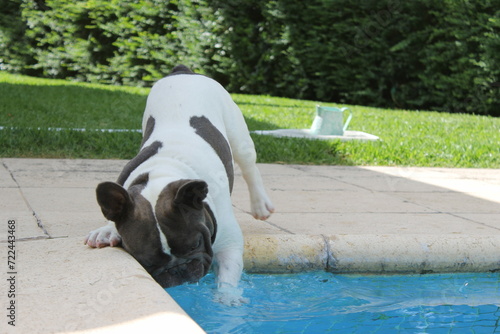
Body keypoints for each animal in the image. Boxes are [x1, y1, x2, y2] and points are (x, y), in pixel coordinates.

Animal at [85, 64, 274, 302]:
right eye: (146, 260)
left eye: (195, 244)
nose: (178, 270)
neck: (163, 171)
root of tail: (184, 71)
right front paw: (107, 230)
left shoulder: (229, 243)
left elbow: (228, 274)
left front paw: (227, 297)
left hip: (238, 135)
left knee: (250, 167)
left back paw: (260, 205)